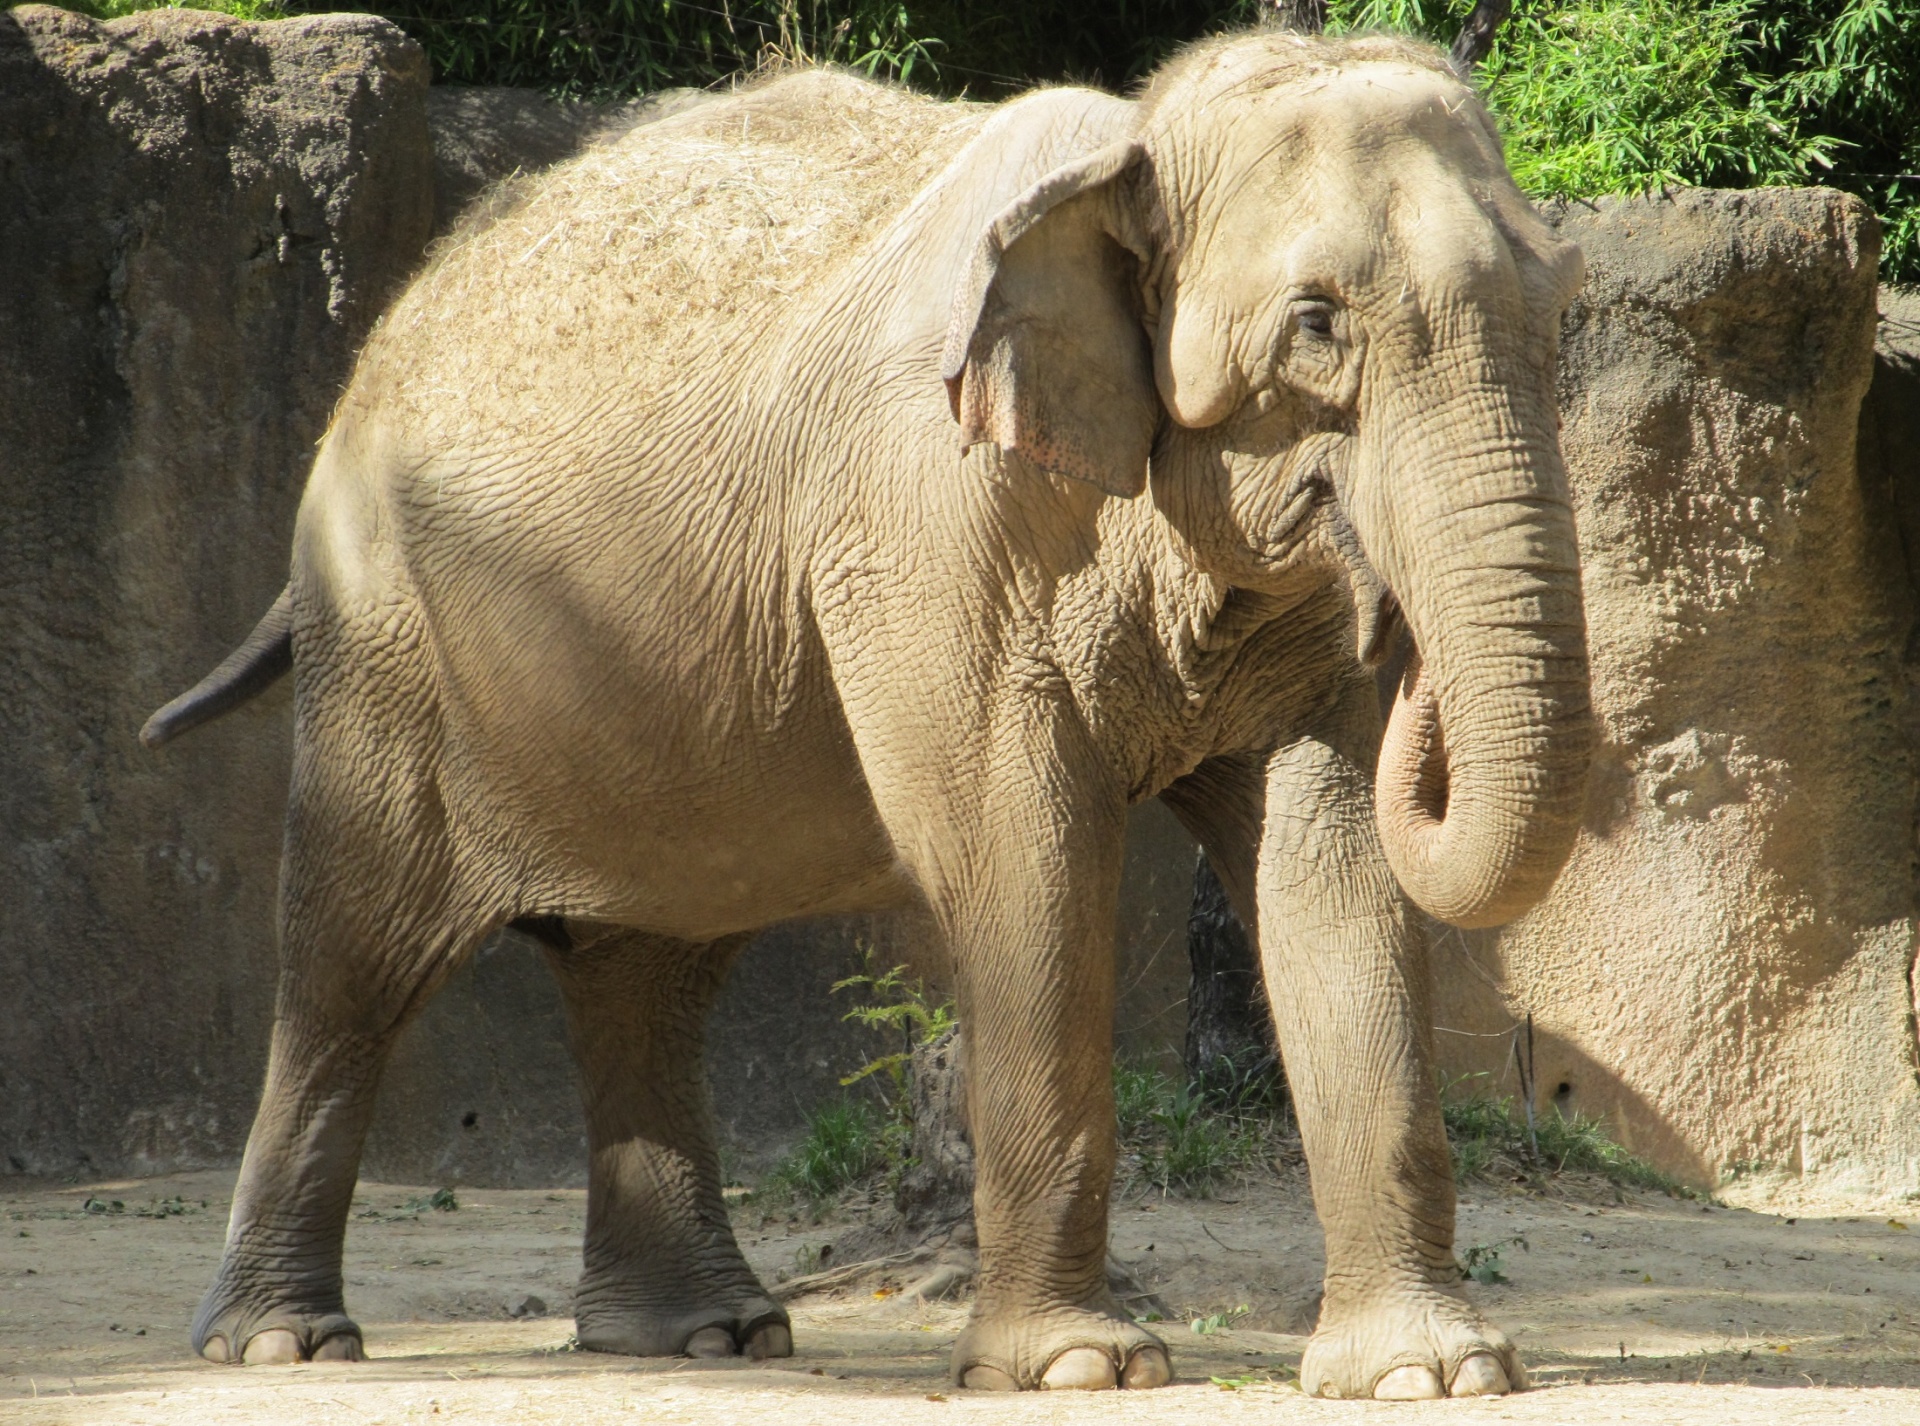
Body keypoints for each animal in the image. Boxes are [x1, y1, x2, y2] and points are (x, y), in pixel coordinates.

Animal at [142, 25, 1589, 1404]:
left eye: (1561, 310)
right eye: (1316, 325)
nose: (1399, 638)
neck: (1134, 141)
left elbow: (1331, 865)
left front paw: (1433, 1372)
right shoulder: (923, 524)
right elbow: (1026, 852)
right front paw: (1079, 1369)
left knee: (645, 963)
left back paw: (707, 1336)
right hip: (380, 636)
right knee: (353, 957)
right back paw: (285, 1343)